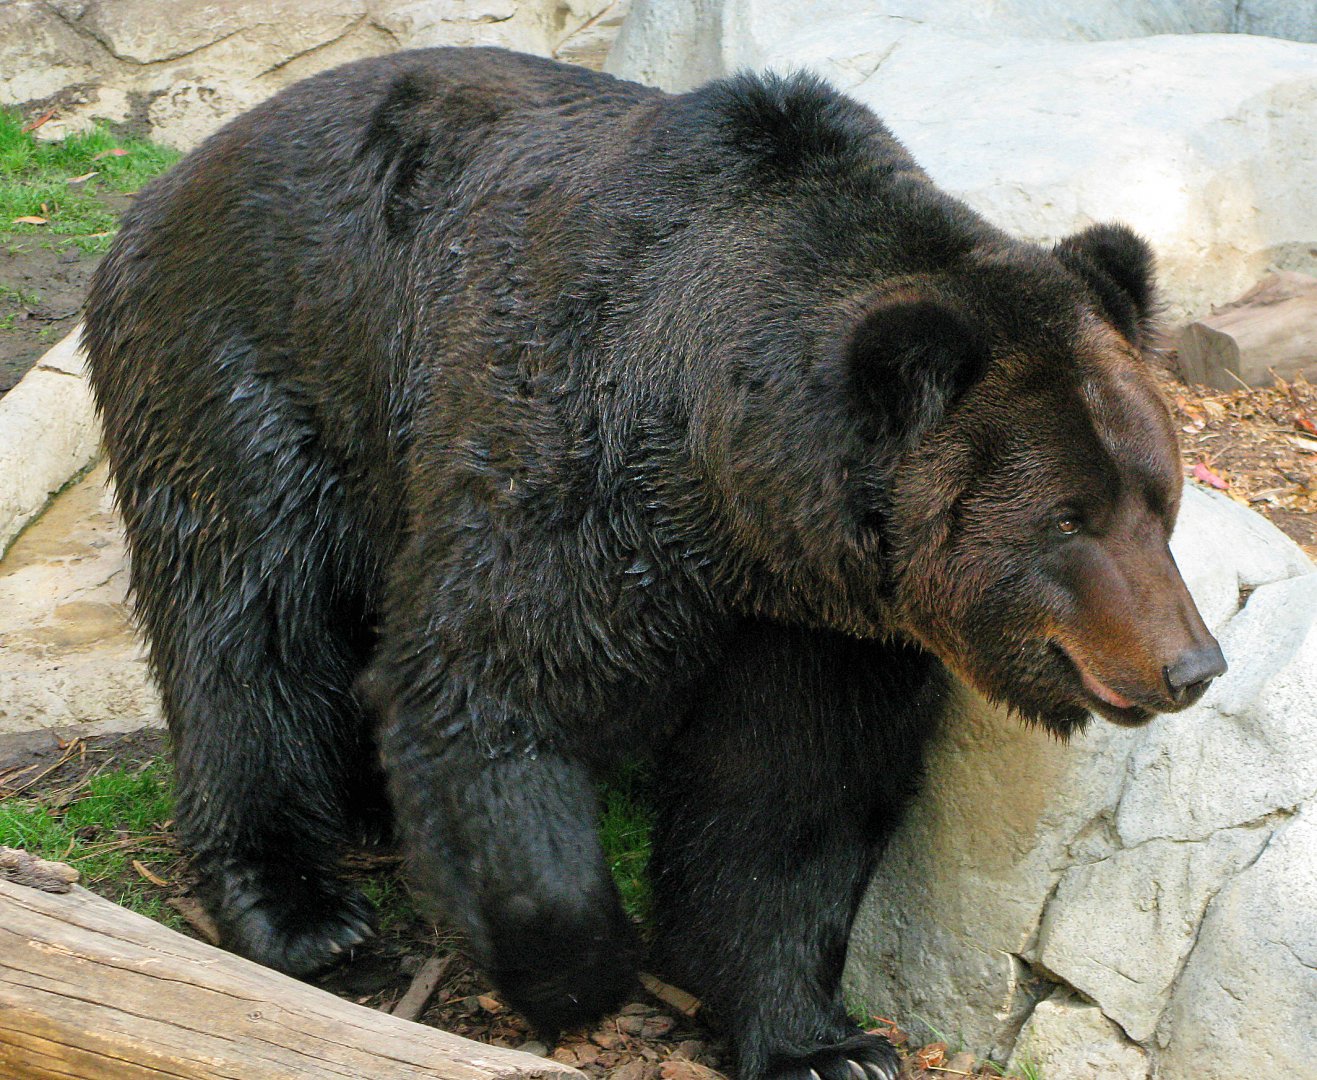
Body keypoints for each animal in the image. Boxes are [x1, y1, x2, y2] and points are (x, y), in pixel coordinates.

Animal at [83, 47, 1226, 1080]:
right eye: (1067, 520)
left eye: (1159, 500)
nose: (1190, 665)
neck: (730, 493)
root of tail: (173, 177)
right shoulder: (571, 462)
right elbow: (484, 686)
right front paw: (580, 971)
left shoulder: (818, 619)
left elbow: (788, 798)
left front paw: (823, 1045)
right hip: (255, 365)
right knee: (246, 620)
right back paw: (298, 905)